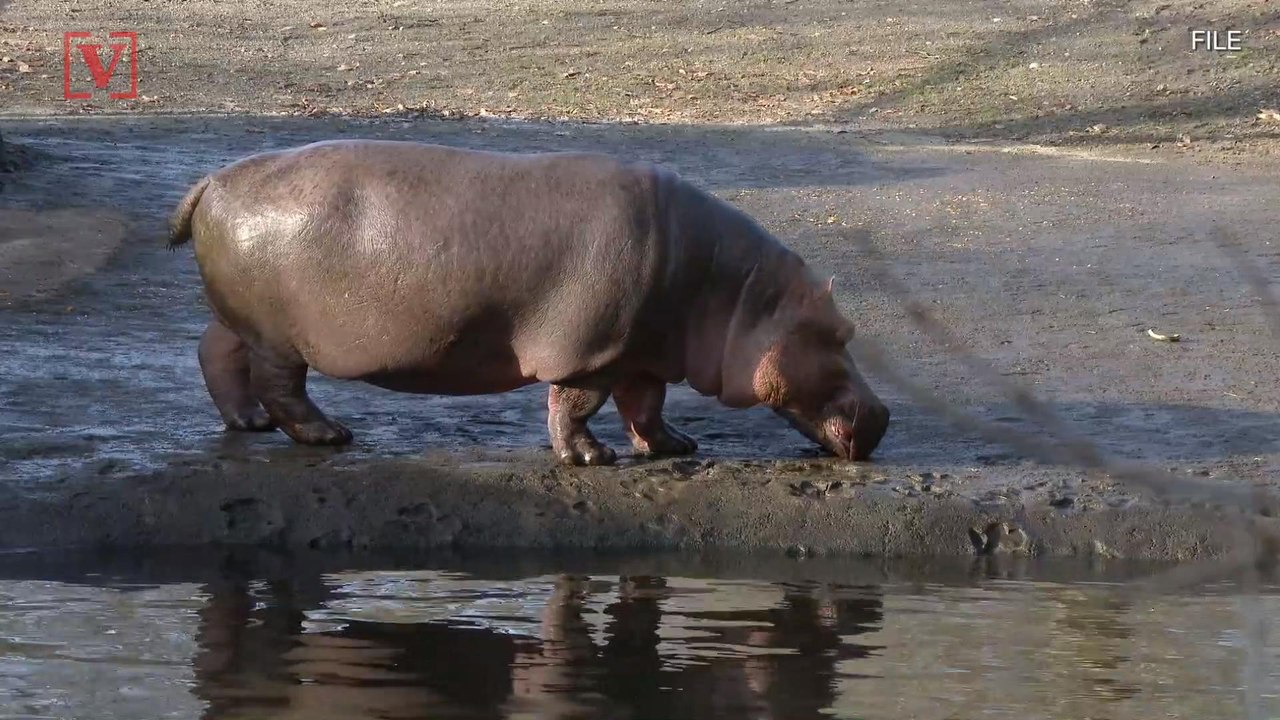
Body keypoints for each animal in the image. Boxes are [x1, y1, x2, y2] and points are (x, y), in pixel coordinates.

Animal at [167, 139, 890, 465]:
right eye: (842, 334)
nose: (883, 415)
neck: (737, 295)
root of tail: (213, 180)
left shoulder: (643, 350)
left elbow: (646, 405)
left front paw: (675, 446)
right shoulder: (592, 350)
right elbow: (576, 404)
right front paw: (592, 459)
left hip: (240, 318)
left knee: (214, 351)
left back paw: (246, 425)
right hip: (279, 334)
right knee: (281, 385)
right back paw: (329, 435)